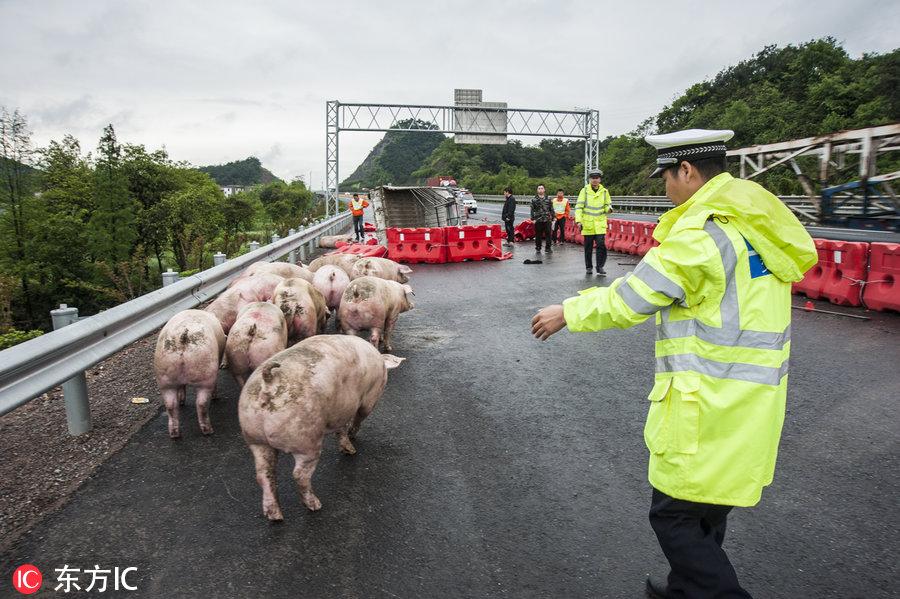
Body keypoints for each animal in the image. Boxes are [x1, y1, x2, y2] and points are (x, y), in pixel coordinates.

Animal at [239, 336, 408, 516]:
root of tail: (269, 382)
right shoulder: (369, 398)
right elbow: (358, 418)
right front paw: (353, 439)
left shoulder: (341, 411)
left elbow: (341, 430)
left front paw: (349, 450)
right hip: (306, 440)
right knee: (299, 474)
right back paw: (315, 505)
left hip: (254, 437)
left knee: (263, 474)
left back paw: (275, 515)